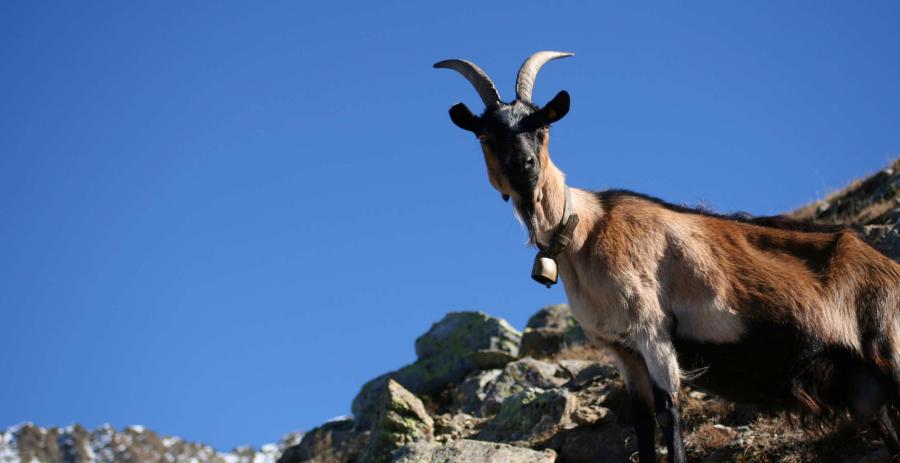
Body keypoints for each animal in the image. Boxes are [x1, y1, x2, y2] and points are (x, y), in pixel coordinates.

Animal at [434, 51, 900, 463]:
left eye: (542, 126)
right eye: (485, 135)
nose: (524, 165)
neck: (585, 233)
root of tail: (888, 267)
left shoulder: (653, 331)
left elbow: (668, 412)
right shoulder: (621, 349)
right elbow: (641, 421)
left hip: (888, 348)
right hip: (862, 381)